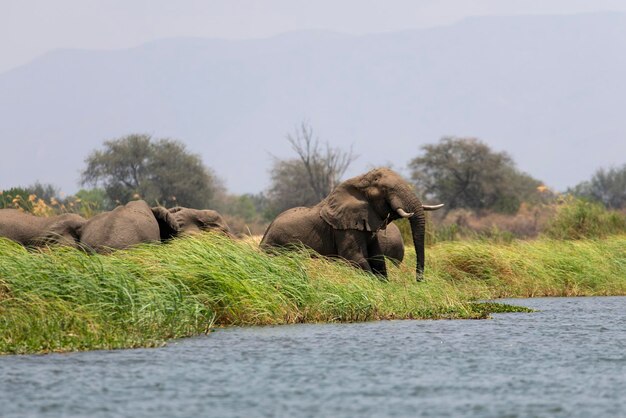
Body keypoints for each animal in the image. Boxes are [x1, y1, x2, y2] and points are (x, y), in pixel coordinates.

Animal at [260, 168, 442, 282]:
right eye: (386, 189)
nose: (419, 280)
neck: (360, 180)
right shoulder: (344, 229)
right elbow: (354, 257)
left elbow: (377, 258)